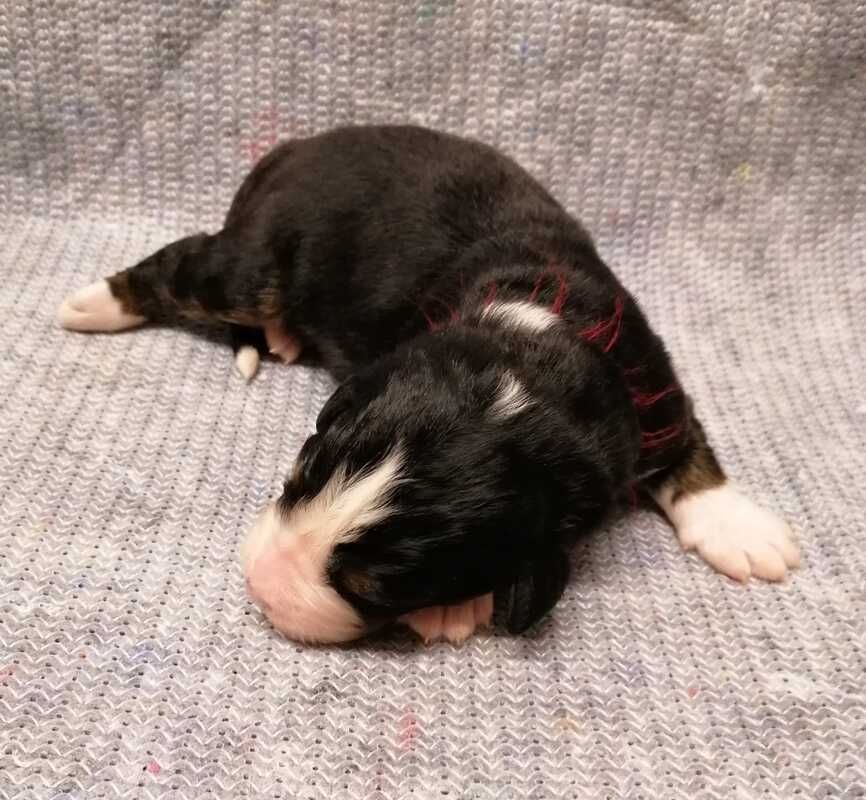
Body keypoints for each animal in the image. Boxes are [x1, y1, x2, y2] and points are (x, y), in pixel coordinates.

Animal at [58, 124, 800, 645]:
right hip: (257, 258)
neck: (530, 339)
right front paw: (456, 610)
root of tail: (295, 147)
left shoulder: (646, 380)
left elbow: (687, 445)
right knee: (185, 269)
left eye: (377, 585)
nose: (259, 587)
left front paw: (740, 528)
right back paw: (88, 305)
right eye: (300, 472)